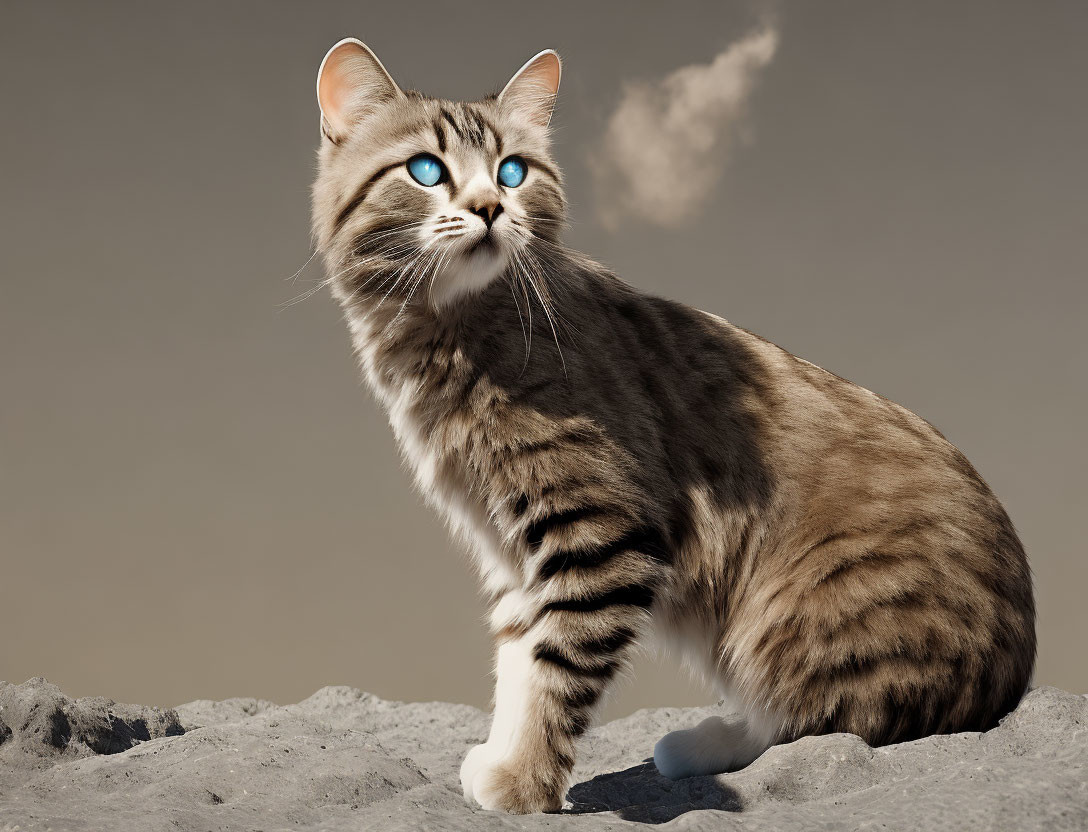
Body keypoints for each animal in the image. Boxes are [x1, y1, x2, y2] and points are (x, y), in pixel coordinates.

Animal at [308, 38, 1035, 813]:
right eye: (426, 170)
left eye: (512, 172)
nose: (489, 207)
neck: (450, 334)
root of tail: (1014, 676)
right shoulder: (511, 548)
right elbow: (518, 658)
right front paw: (506, 756)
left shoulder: (599, 529)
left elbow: (556, 661)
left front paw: (525, 780)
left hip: (803, 609)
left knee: (832, 718)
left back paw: (703, 742)